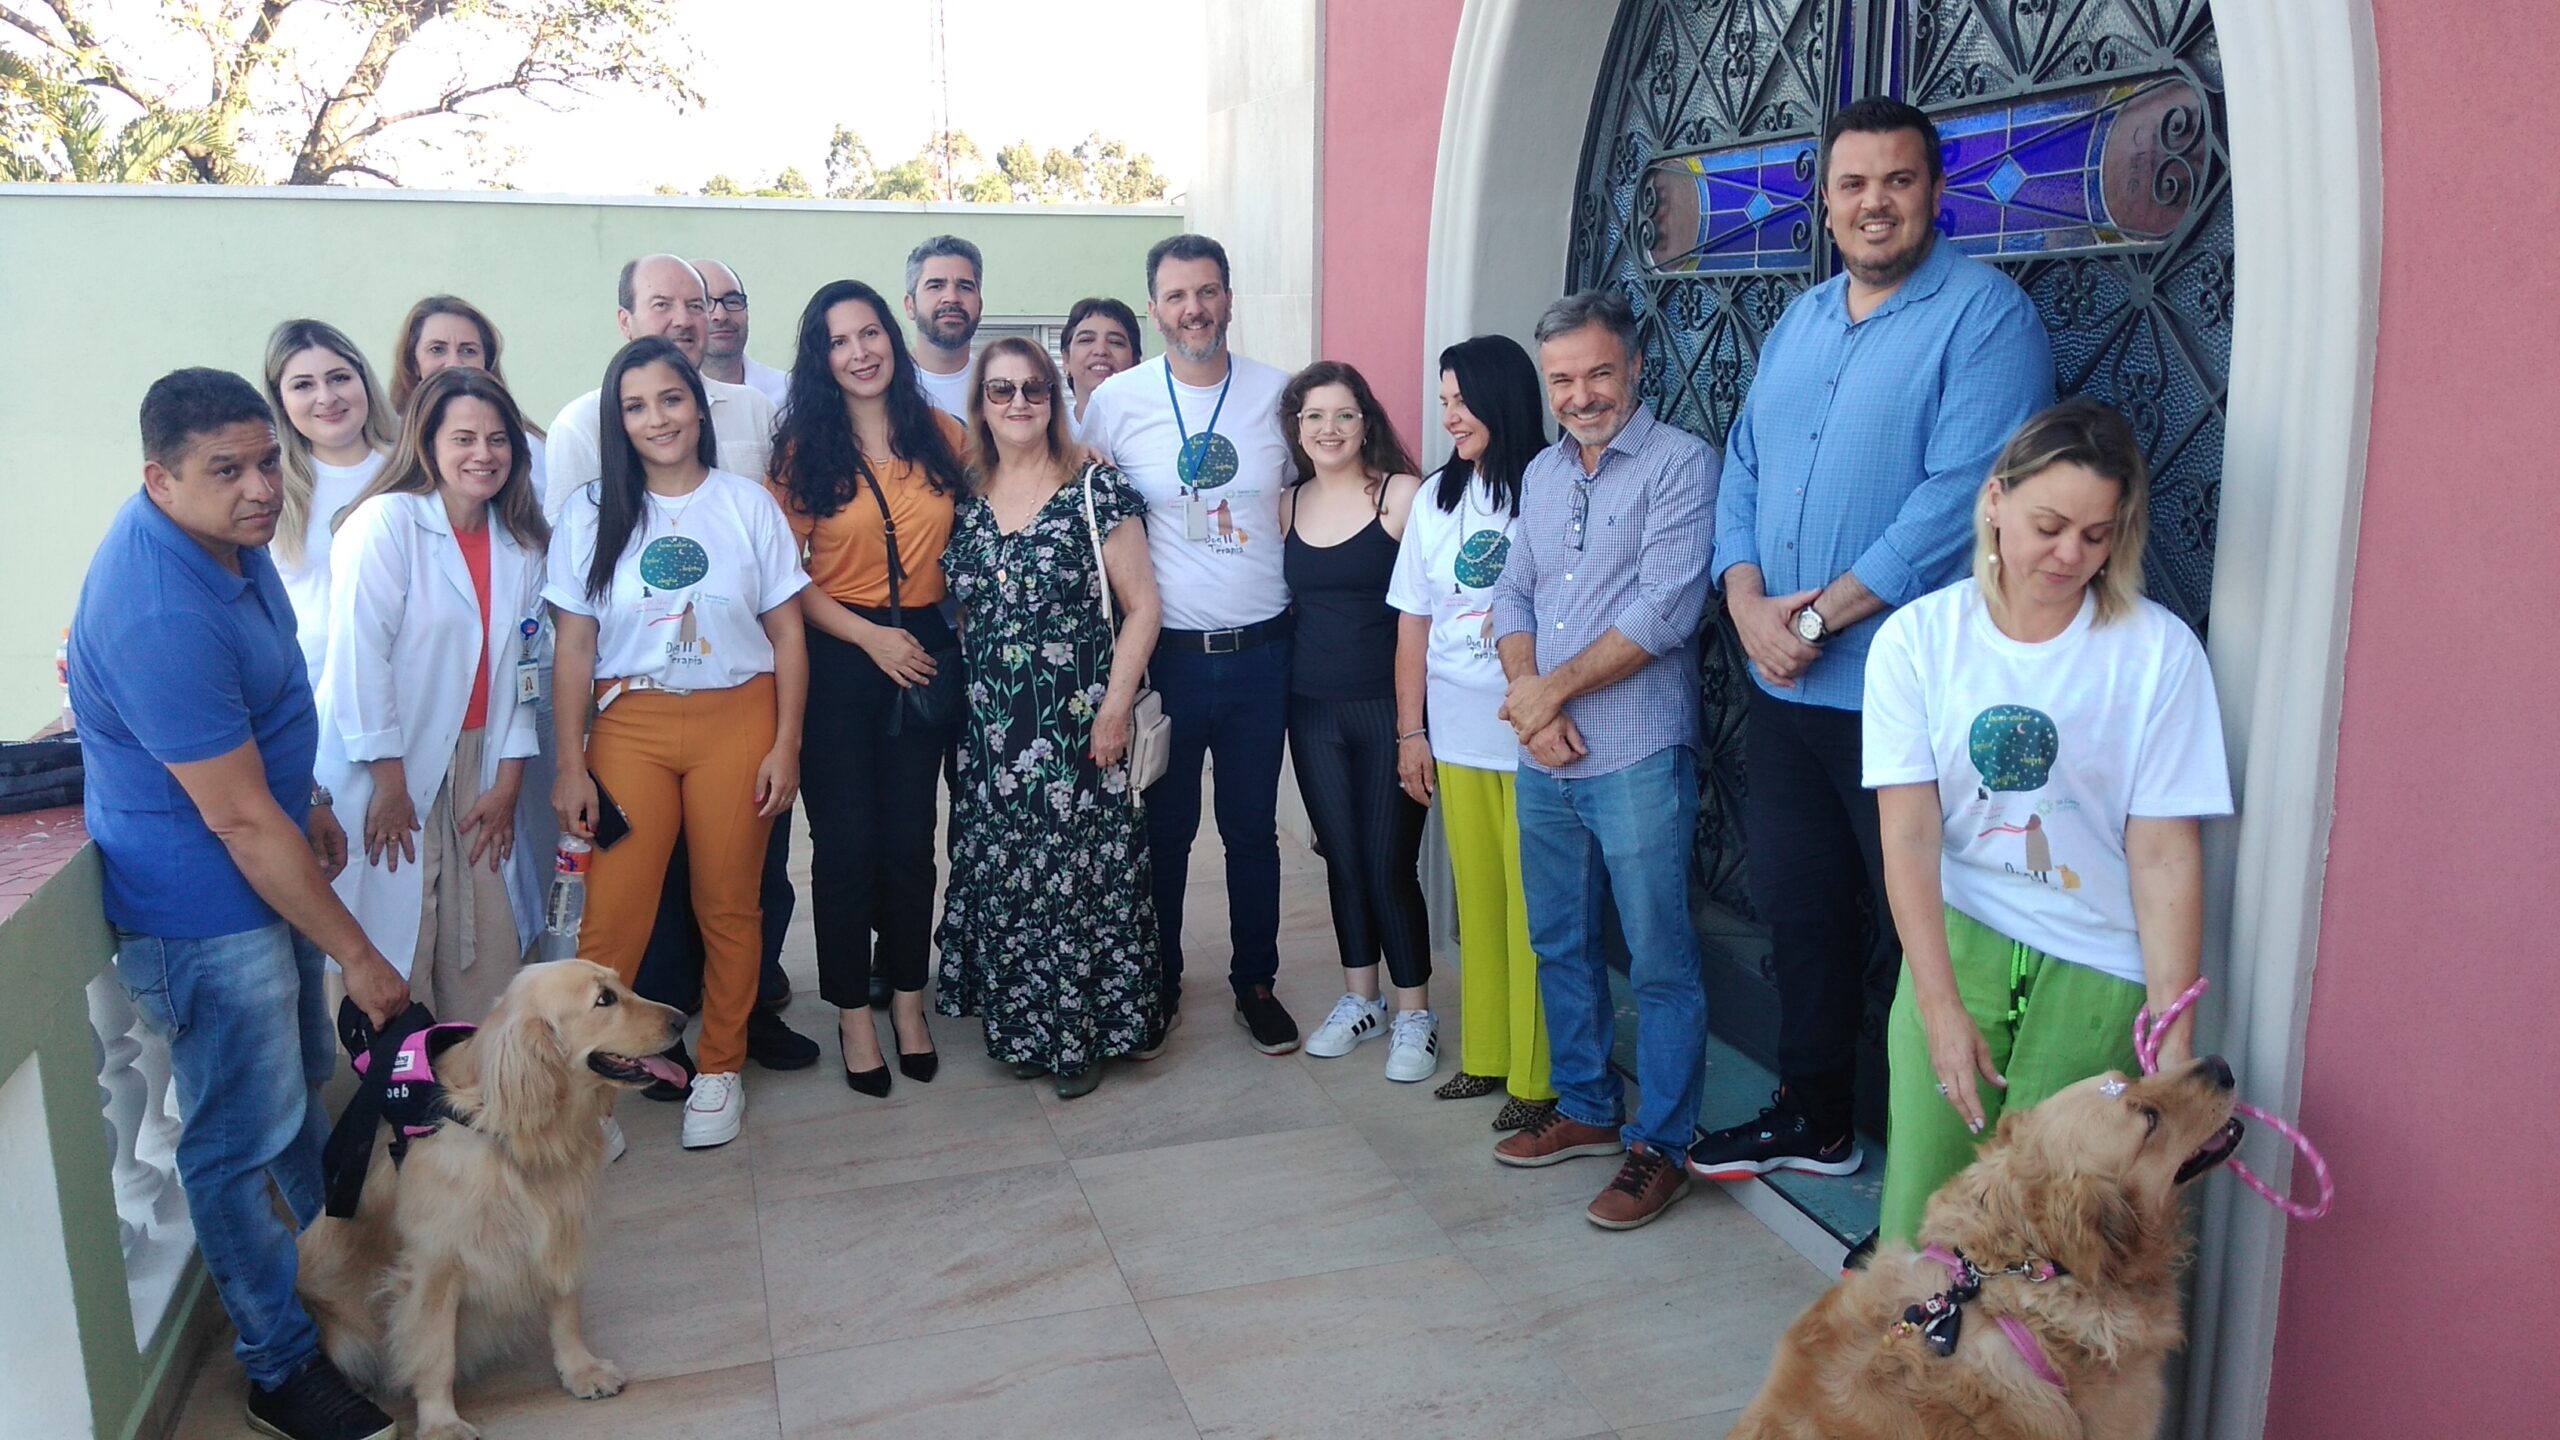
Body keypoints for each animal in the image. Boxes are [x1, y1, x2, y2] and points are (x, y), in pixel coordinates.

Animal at [296, 953, 691, 1434]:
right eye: (604, 1000)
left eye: (622, 986)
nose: (682, 1019)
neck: (514, 1131)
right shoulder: (434, 1264)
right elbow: (435, 1353)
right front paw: (441, 1423)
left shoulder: (561, 1223)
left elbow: (566, 1311)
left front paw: (581, 1369)